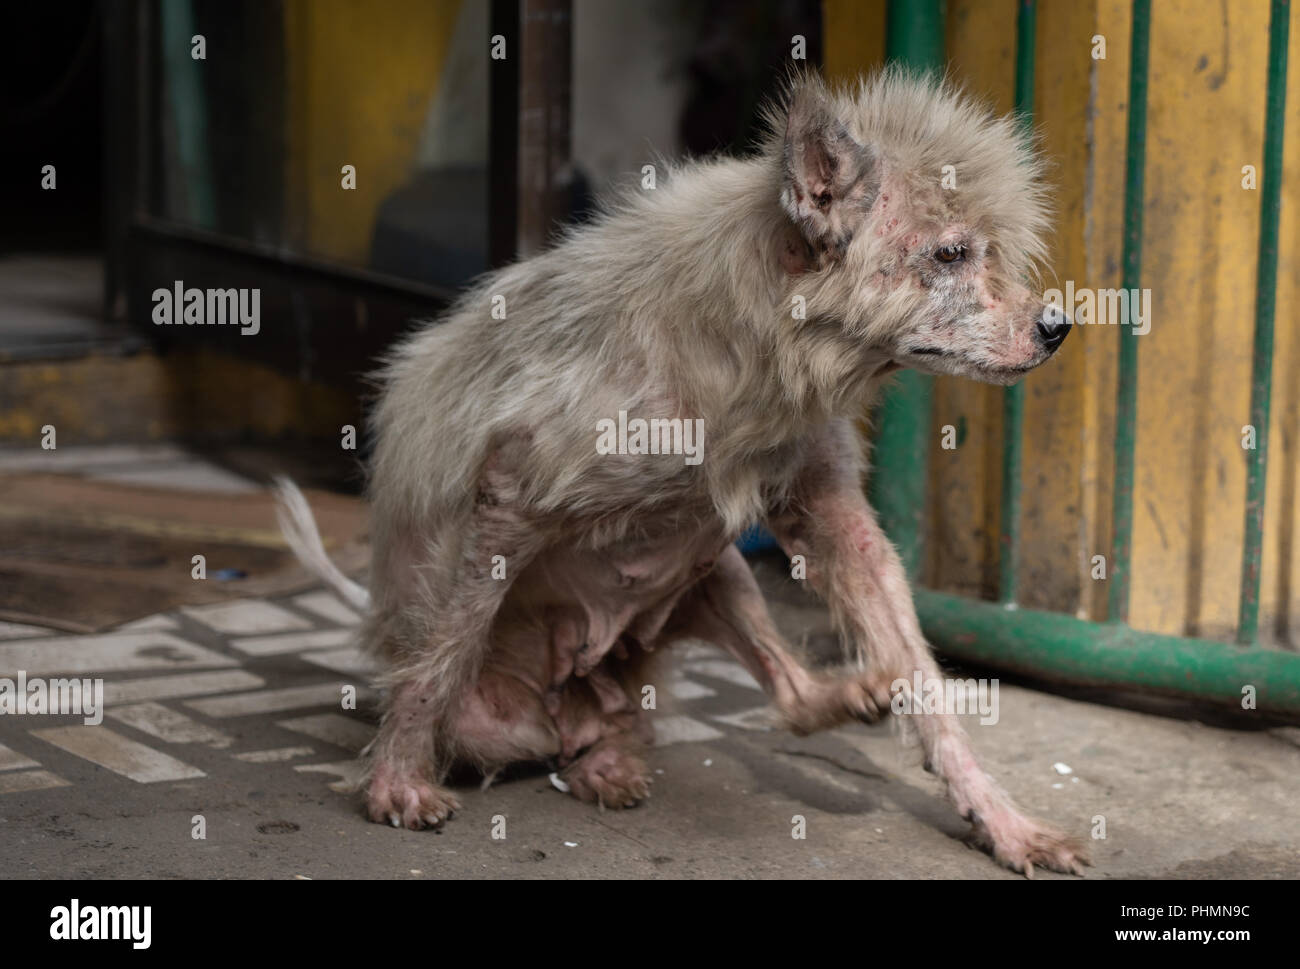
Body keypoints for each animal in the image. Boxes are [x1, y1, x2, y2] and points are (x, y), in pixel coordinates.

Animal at [276, 69, 1086, 879]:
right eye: (950, 253)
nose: (1058, 327)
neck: (753, 357)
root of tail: (572, 709)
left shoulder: (840, 523)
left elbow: (928, 685)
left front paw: (1005, 823)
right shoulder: (508, 497)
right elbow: (436, 663)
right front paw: (396, 784)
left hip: (718, 569)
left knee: (784, 699)